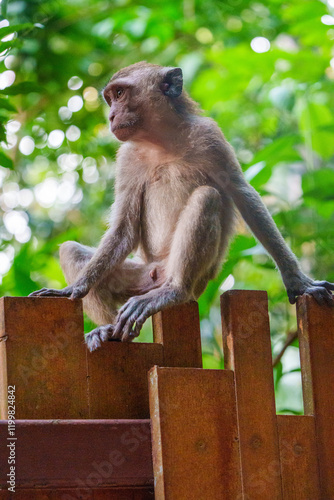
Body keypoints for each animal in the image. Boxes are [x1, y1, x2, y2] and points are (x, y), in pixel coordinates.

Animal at [28, 62, 334, 352]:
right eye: (110, 98)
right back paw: (106, 330)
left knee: (206, 197)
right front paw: (72, 289)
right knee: (72, 251)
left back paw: (174, 292)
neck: (161, 141)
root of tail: (158, 275)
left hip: (195, 280)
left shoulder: (210, 136)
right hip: (139, 274)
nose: (111, 116)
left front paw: (298, 281)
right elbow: (124, 228)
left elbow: (244, 196)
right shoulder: (126, 158)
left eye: (120, 94)